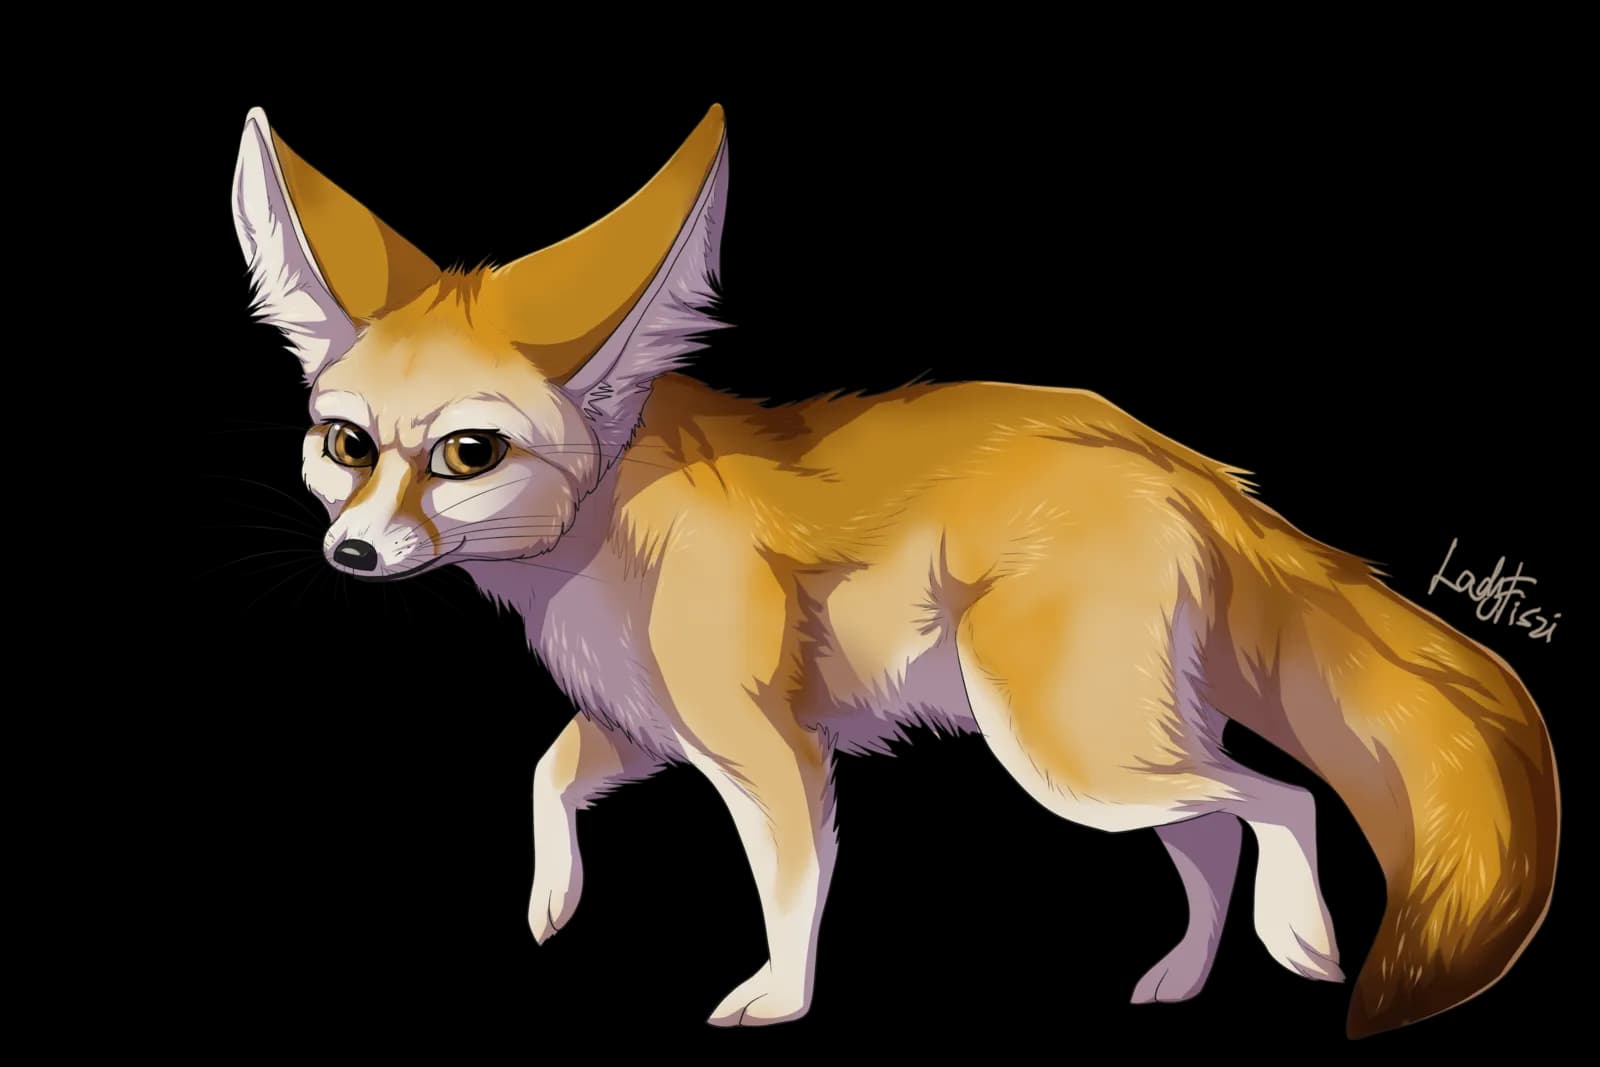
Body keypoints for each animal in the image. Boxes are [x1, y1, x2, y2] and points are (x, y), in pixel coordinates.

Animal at [230, 102, 1558, 1038]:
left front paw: (776, 999)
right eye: (347, 446)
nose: (350, 551)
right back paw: (1180, 977)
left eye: (467, 453)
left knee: (1276, 802)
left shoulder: (767, 749)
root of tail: (1175, 452)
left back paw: (1305, 940)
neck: (608, 532)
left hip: (1070, 754)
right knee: (1214, 831)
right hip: (1112, 753)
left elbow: (792, 883)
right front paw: (549, 903)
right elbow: (546, 775)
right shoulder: (645, 721)